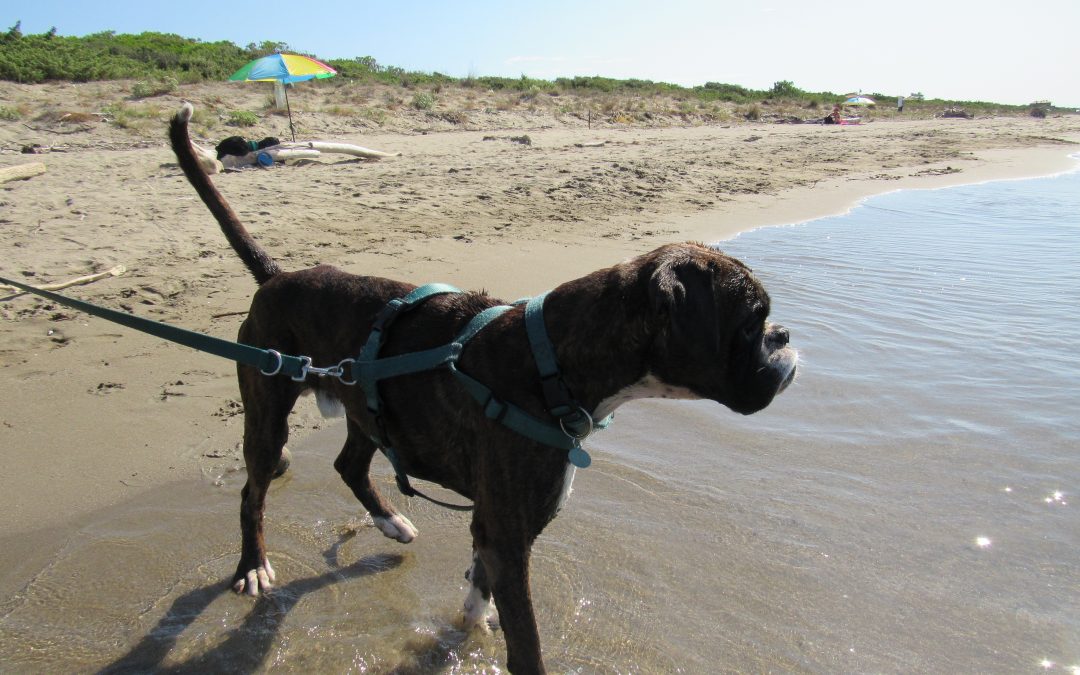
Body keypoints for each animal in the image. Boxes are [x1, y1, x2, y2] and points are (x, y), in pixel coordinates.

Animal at [166, 102, 794, 669]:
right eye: (751, 321)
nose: (784, 336)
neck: (551, 358)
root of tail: (278, 277)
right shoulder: (509, 536)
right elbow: (527, 642)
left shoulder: (497, 528)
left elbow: (480, 587)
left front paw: (469, 628)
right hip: (266, 411)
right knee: (253, 493)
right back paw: (252, 566)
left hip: (365, 400)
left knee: (349, 464)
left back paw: (390, 523)